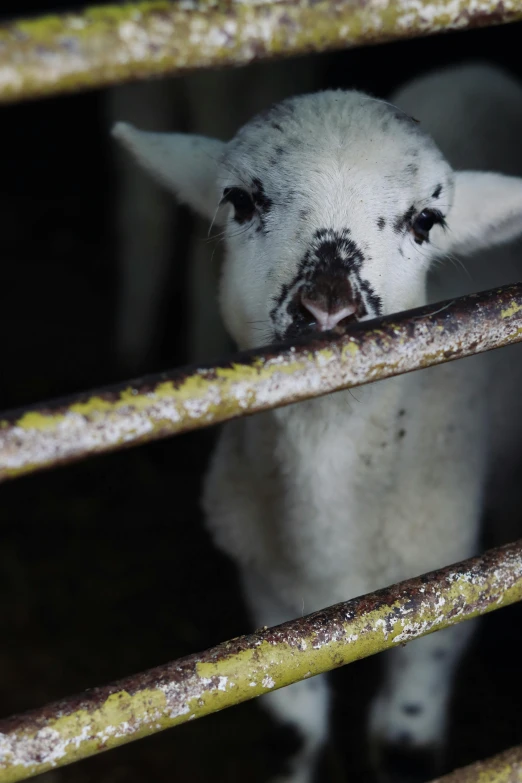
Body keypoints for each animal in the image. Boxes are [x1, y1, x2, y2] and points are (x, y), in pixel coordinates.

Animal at [111, 62, 520, 783]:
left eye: (427, 219)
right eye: (240, 200)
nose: (329, 308)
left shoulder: (450, 600)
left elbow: (404, 744)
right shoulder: (271, 605)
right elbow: (292, 735)